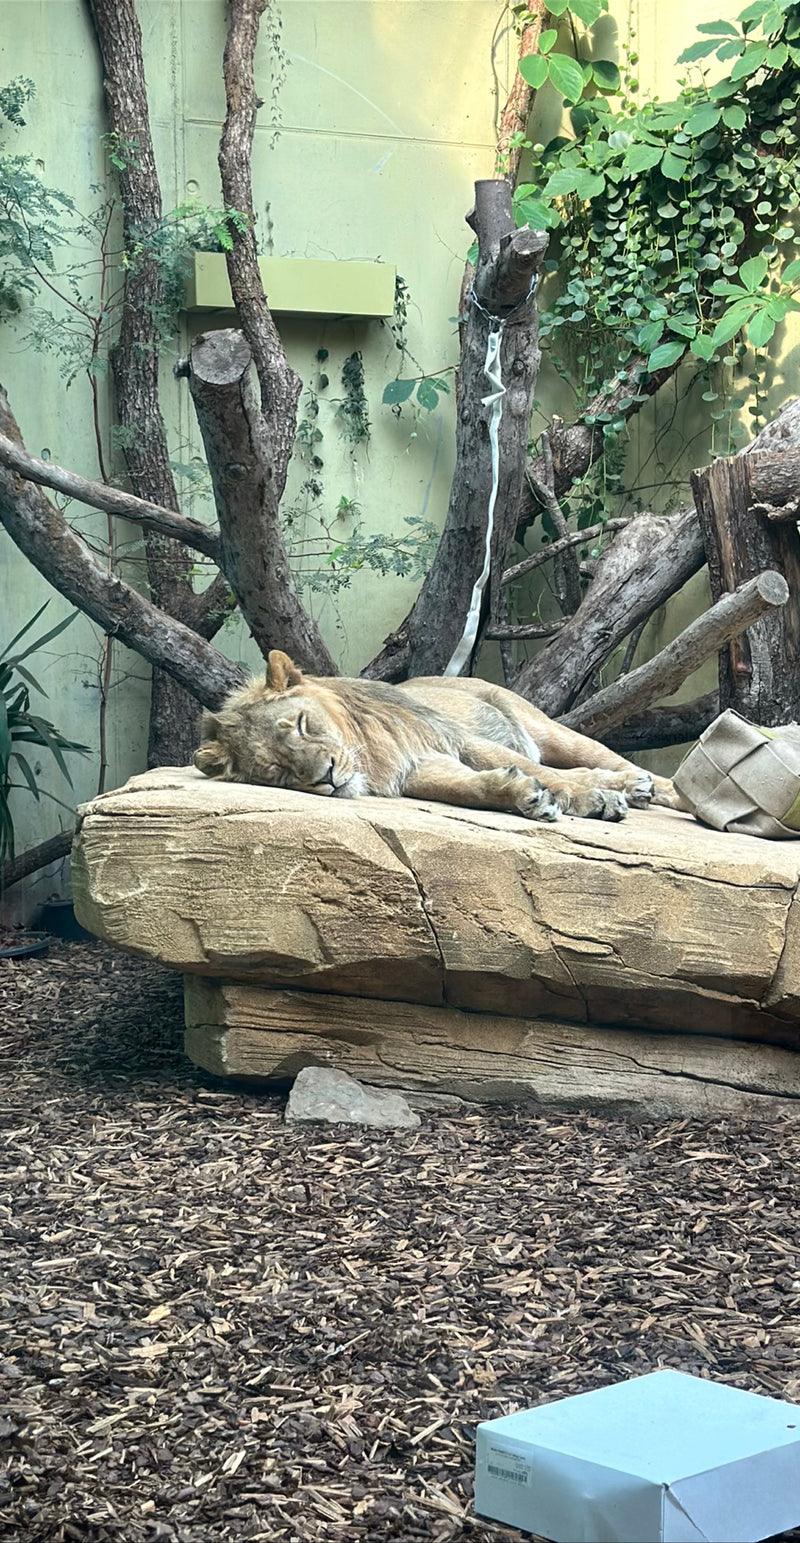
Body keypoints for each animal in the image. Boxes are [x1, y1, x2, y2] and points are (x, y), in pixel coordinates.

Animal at [193, 650, 681, 824]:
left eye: (301, 724)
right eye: (278, 771)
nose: (327, 777)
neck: (368, 757)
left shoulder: (458, 741)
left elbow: (544, 772)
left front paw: (589, 799)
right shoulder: (420, 767)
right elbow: (472, 787)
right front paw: (523, 796)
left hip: (547, 729)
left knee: (608, 762)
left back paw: (650, 788)